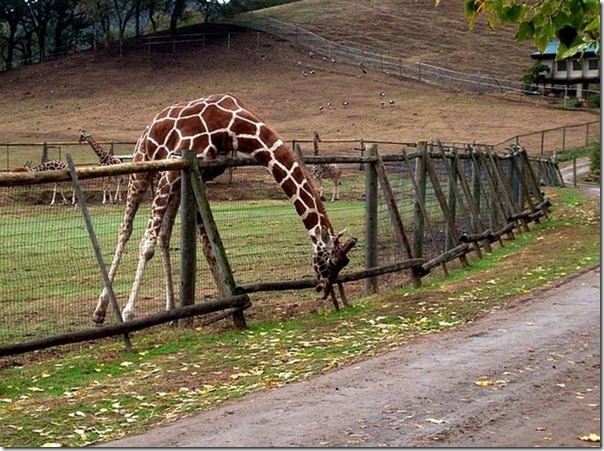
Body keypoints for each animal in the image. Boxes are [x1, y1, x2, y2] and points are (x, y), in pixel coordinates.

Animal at [94, 92, 354, 324]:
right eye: (330, 261)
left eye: (344, 263)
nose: (323, 288)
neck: (233, 126)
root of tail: (149, 126)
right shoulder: (173, 170)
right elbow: (146, 244)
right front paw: (128, 313)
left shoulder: (200, 174)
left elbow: (208, 246)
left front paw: (228, 305)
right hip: (143, 168)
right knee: (126, 230)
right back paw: (101, 310)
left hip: (171, 183)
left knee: (164, 236)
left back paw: (171, 310)